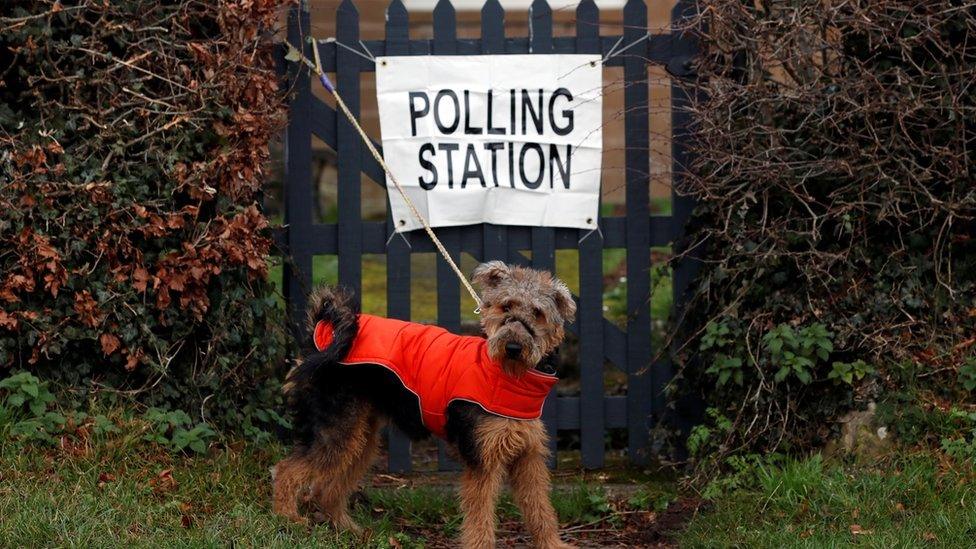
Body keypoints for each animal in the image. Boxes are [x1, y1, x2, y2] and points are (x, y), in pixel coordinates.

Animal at [270, 260, 576, 544]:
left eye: (538, 313)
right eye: (506, 306)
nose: (512, 347)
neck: (508, 376)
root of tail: (319, 336)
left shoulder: (528, 457)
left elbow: (541, 511)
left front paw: (553, 545)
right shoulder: (482, 460)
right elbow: (480, 520)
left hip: (360, 438)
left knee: (327, 489)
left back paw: (350, 530)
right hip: (335, 433)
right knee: (286, 471)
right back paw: (288, 519)